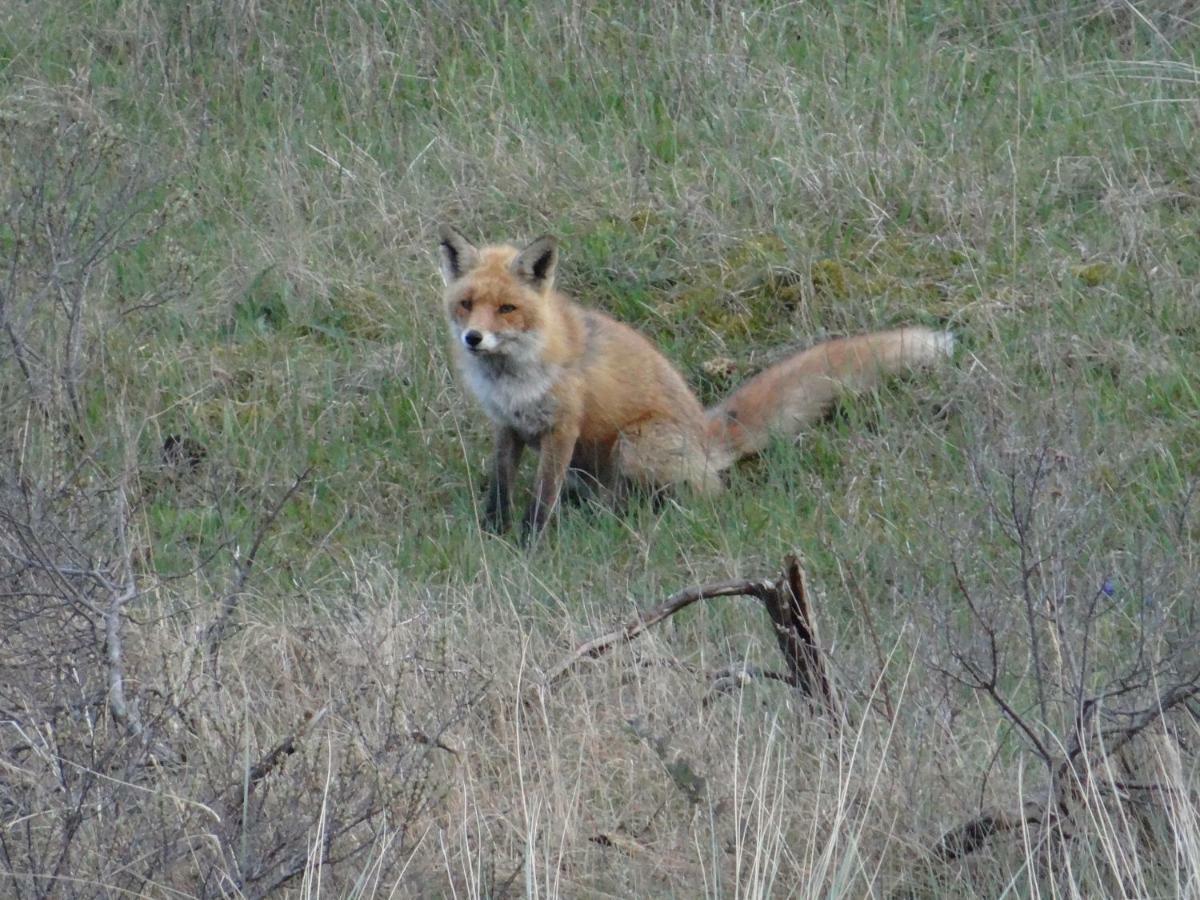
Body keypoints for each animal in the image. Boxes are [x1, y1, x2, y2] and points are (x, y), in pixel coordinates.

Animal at [441, 225, 955, 535]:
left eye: (507, 308)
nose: (473, 338)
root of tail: (707, 433)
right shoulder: (507, 425)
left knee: (708, 492)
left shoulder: (563, 426)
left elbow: (541, 499)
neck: (512, 374)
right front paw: (494, 533)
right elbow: (500, 487)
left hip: (634, 445)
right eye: (466, 304)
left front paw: (530, 544)